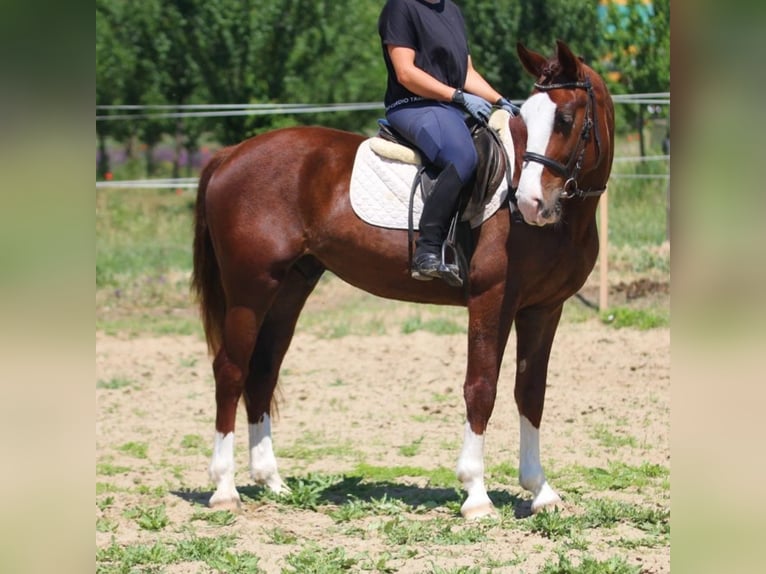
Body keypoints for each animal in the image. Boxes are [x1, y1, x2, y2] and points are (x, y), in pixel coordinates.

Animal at [194, 39, 616, 516]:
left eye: (565, 119)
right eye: (528, 118)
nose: (528, 202)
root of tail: (230, 155)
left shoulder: (543, 309)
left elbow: (530, 392)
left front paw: (540, 491)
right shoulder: (492, 300)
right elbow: (481, 387)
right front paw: (476, 494)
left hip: (289, 288)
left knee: (263, 370)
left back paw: (272, 482)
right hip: (250, 289)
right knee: (230, 370)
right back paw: (224, 488)